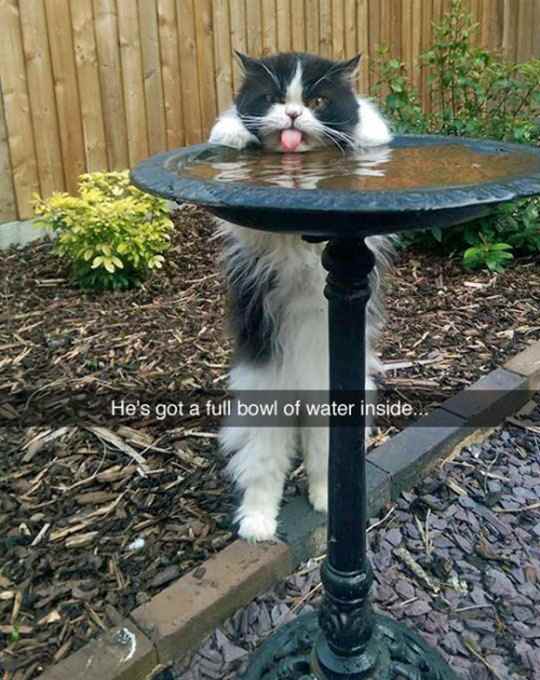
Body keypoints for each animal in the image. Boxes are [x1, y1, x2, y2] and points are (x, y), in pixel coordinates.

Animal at [207, 51, 392, 540]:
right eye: (273, 99)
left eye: (318, 102)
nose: (292, 115)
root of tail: (301, 394)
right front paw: (232, 132)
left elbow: (366, 131)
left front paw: (363, 129)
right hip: (263, 407)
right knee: (263, 473)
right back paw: (257, 525)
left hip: (333, 408)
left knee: (328, 467)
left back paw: (325, 504)